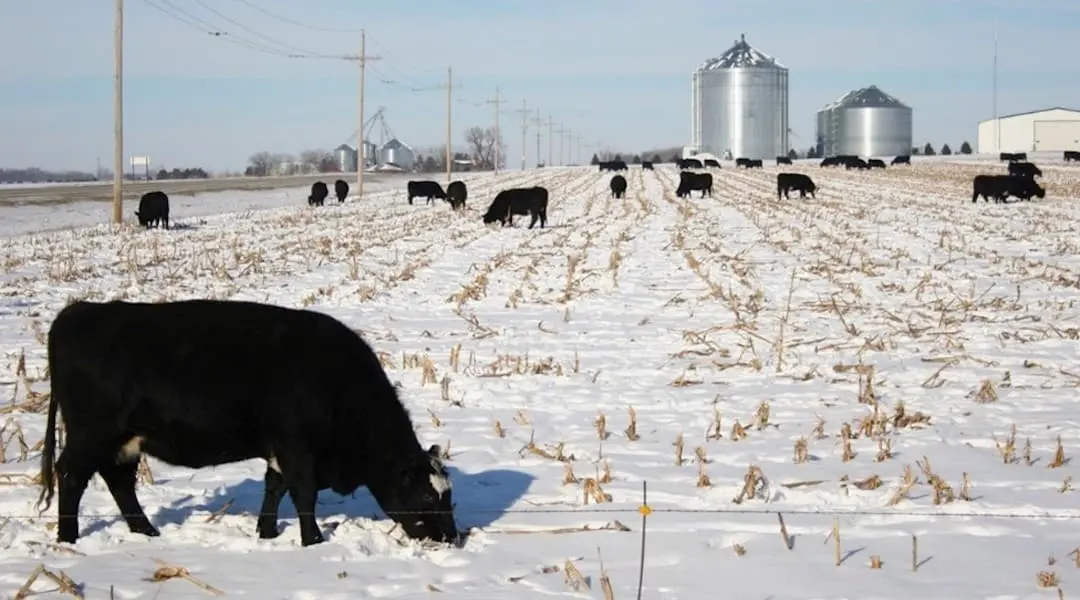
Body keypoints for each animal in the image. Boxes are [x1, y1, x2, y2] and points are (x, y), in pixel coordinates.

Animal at [36, 299, 459, 548]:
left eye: (448, 494)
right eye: (426, 497)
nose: (453, 537)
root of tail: (80, 310)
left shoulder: (280, 450)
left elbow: (275, 488)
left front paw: (266, 532)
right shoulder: (297, 447)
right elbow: (303, 494)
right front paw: (313, 541)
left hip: (124, 440)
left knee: (119, 482)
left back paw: (146, 532)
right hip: (90, 434)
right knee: (70, 476)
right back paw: (69, 538)